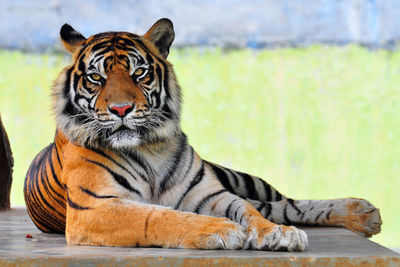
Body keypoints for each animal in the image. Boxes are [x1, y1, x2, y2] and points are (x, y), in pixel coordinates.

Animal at [23, 18, 382, 251]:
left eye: (139, 73)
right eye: (96, 78)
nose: (121, 109)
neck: (149, 148)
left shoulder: (211, 194)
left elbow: (249, 212)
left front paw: (279, 234)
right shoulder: (96, 207)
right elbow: (159, 215)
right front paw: (222, 230)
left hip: (239, 178)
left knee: (282, 203)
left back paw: (361, 213)